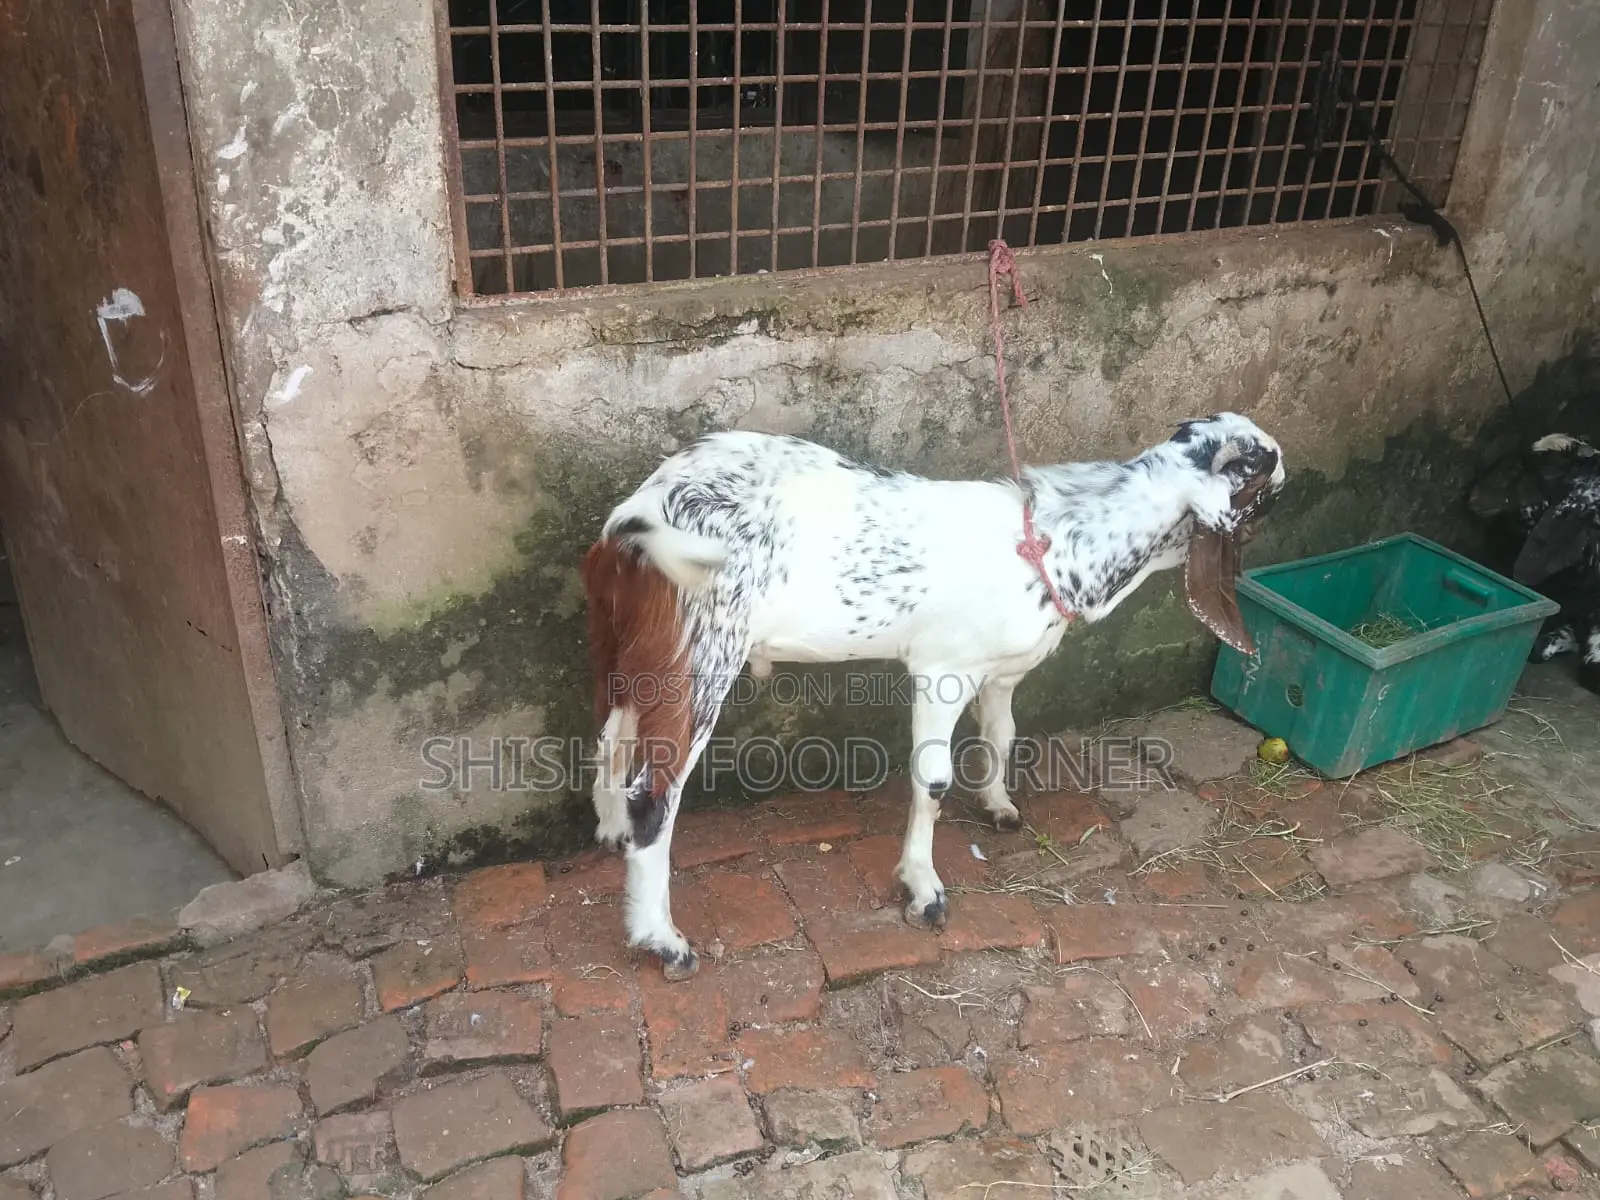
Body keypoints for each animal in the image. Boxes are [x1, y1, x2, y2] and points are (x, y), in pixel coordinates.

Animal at [580, 413, 1286, 979]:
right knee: (655, 792)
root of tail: (634, 517)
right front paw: (923, 888)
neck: (1059, 541)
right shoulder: (942, 670)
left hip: (636, 653)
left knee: (611, 739)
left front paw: (999, 805)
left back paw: (611, 833)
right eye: (1265, 490)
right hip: (704, 651)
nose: (1257, 543)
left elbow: (1002, 734)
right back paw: (663, 940)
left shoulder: (1000, 672)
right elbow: (934, 779)